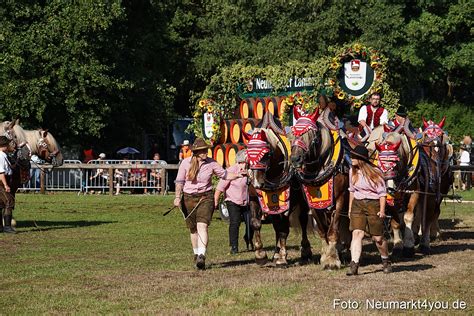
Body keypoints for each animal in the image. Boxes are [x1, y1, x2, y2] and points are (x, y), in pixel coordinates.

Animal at [243, 113, 312, 266]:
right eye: (248, 155)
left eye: (266, 155)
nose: (256, 182)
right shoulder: (255, 198)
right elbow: (256, 223)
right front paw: (260, 255)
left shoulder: (287, 202)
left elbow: (284, 229)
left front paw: (283, 257)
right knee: (276, 226)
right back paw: (275, 253)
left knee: (303, 220)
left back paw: (305, 251)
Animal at [286, 108, 350, 270]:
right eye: (292, 135)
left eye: (312, 136)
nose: (295, 159)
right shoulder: (313, 204)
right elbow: (322, 230)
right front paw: (326, 256)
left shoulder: (340, 199)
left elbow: (333, 230)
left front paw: (332, 260)